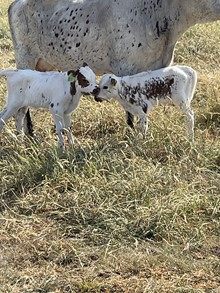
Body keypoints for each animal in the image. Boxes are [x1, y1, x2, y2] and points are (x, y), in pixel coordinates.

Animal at [7, 0, 219, 135]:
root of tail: (16, 4)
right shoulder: (127, 68)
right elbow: (129, 109)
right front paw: (132, 132)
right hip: (25, 59)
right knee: (22, 105)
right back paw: (29, 135)